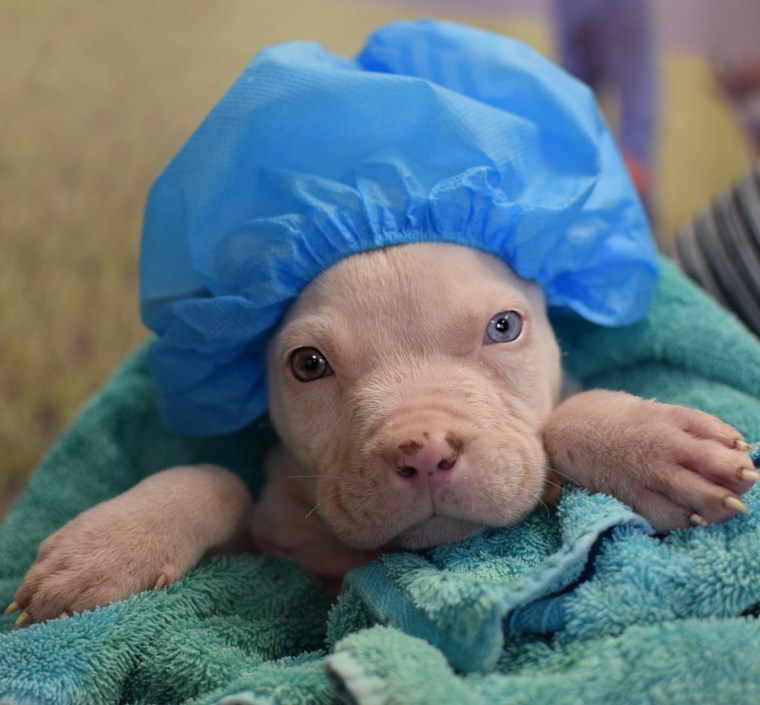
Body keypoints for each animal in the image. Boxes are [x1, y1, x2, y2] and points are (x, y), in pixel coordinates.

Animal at [5, 245, 756, 624]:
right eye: (308, 364)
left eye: (505, 326)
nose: (423, 450)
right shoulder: (274, 551)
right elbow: (218, 478)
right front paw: (104, 549)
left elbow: (563, 419)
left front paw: (657, 448)